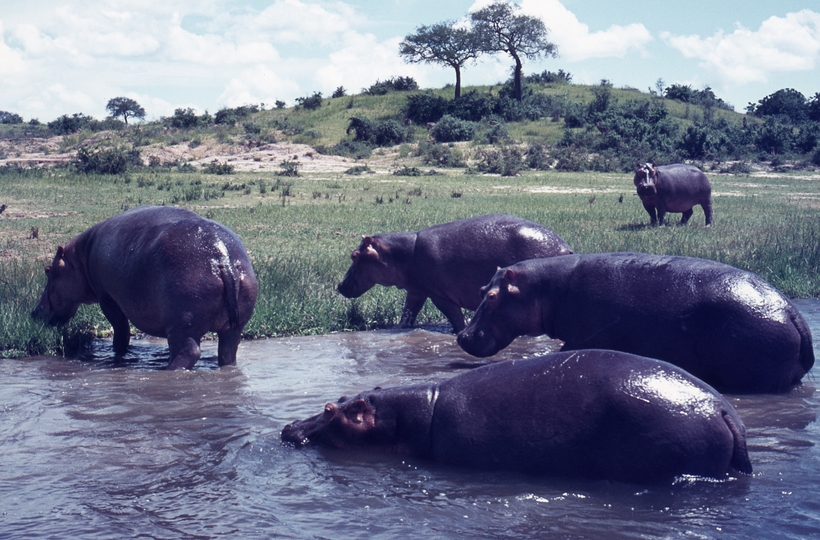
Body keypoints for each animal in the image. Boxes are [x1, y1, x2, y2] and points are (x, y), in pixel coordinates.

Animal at [32, 205, 258, 370]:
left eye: (47, 270)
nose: (34, 312)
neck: (80, 257)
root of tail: (223, 260)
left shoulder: (107, 298)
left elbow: (121, 328)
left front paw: (119, 353)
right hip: (233, 326)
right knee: (228, 351)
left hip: (184, 324)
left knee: (188, 352)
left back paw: (168, 370)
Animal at [336, 213, 572, 332]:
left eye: (354, 255)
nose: (339, 285)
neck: (400, 253)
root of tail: (566, 247)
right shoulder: (417, 290)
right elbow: (408, 313)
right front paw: (400, 329)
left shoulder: (439, 294)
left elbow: (455, 317)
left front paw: (457, 333)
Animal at [454, 251, 812, 394]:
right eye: (482, 289)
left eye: (493, 297)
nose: (462, 336)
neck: (546, 288)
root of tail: (791, 312)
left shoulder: (582, 337)